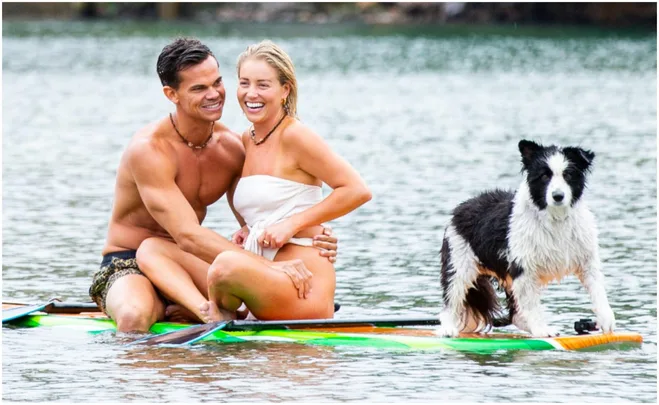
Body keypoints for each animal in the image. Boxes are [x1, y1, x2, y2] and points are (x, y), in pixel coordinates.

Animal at [438, 140, 620, 336]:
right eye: (545, 176)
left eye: (568, 174)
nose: (558, 196)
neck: (555, 217)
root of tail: (461, 208)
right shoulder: (524, 269)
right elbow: (532, 305)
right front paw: (542, 330)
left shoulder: (586, 259)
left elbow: (597, 288)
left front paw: (606, 320)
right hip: (459, 264)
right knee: (452, 298)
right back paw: (447, 328)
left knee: (516, 315)